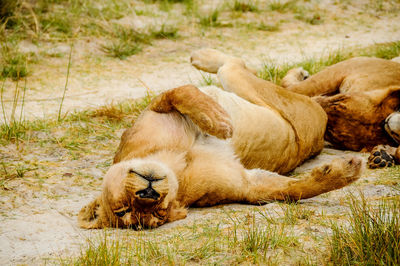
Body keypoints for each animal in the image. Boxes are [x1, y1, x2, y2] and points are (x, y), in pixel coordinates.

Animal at [78, 48, 362, 230]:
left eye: (122, 209)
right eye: (129, 212)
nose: (148, 193)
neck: (176, 166)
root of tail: (321, 119)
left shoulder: (153, 109)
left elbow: (182, 93)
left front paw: (218, 122)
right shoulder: (244, 185)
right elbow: (292, 190)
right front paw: (344, 172)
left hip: (252, 90)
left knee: (232, 65)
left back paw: (202, 58)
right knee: (235, 65)